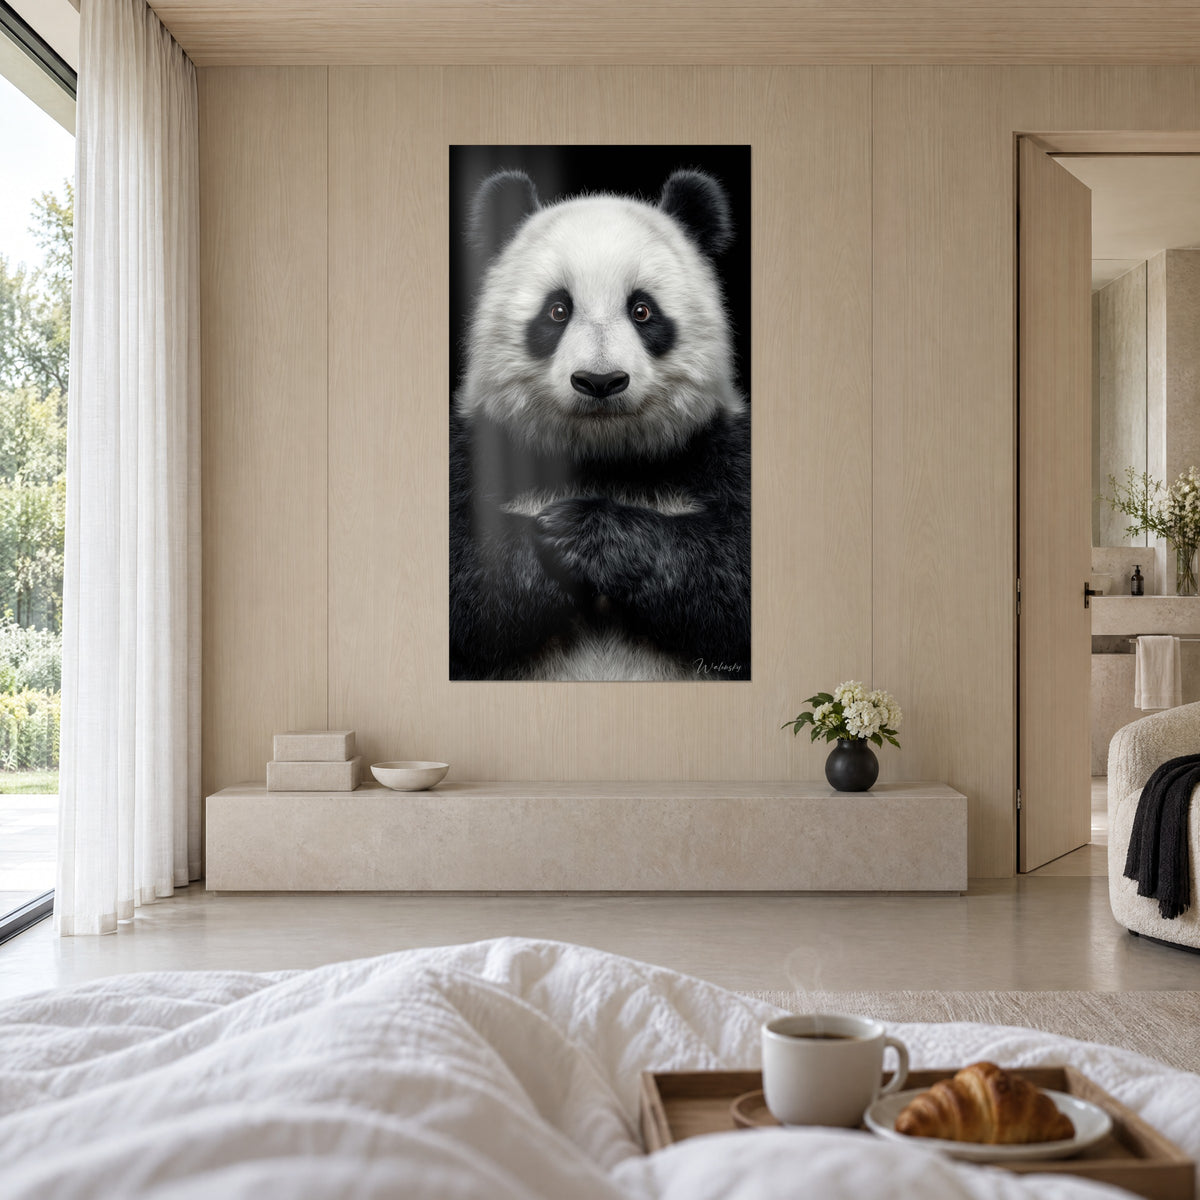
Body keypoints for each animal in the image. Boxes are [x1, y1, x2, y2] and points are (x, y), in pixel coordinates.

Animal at [449, 167, 750, 682]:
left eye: (642, 310)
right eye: (558, 309)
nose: (600, 381)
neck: (601, 457)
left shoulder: (722, 449)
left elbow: (735, 573)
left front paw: (586, 535)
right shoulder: (470, 450)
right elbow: (462, 572)